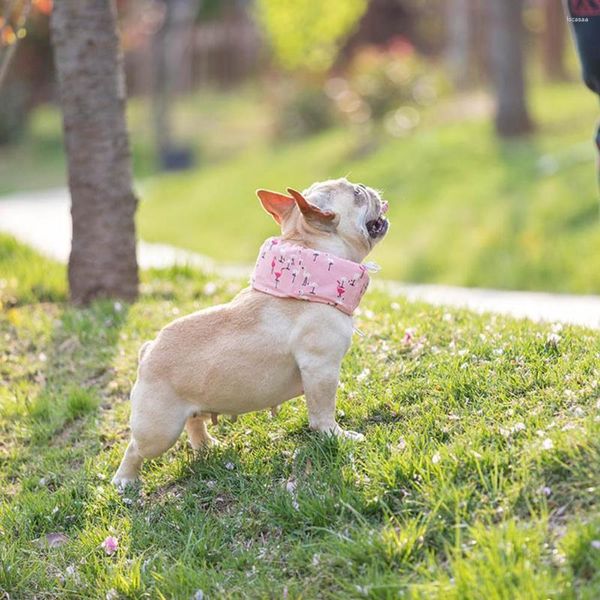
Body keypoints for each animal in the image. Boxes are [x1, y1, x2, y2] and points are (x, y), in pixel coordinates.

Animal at [112, 178, 390, 488]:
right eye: (357, 194)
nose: (366, 186)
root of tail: (147, 350)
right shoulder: (321, 368)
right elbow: (322, 412)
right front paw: (337, 436)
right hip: (159, 430)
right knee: (136, 447)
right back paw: (125, 479)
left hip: (190, 407)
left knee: (194, 422)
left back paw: (207, 446)